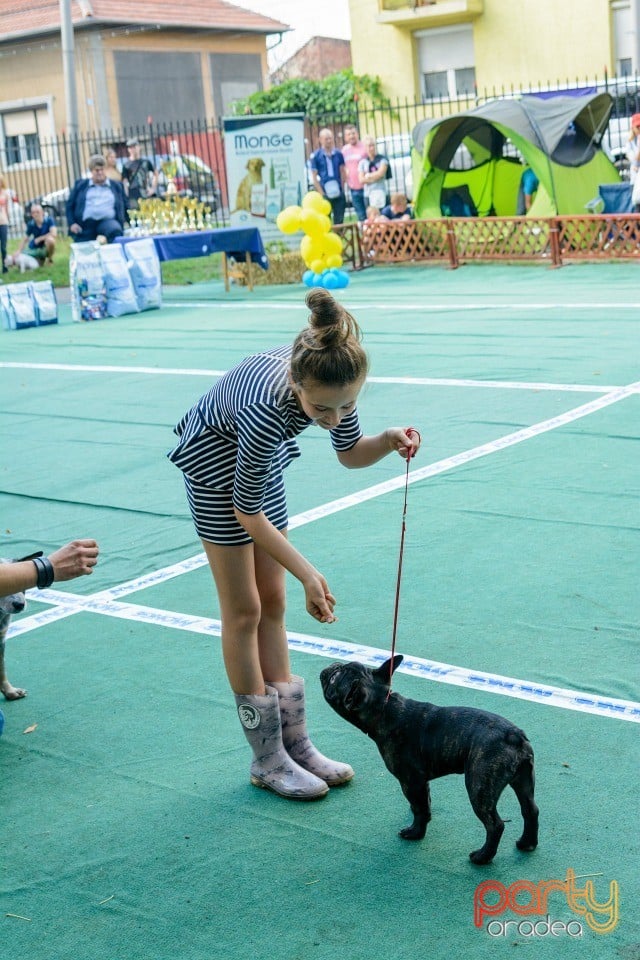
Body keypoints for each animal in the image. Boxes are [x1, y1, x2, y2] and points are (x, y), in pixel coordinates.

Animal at [322, 656, 536, 868]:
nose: (333, 665)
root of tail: (513, 736)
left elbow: (420, 808)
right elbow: (425, 803)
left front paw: (415, 832)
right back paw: (527, 843)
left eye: (334, 678)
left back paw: (483, 857)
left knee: (495, 825)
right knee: (530, 810)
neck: (385, 709)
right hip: (523, 781)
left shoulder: (410, 781)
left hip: (480, 787)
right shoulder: (421, 782)